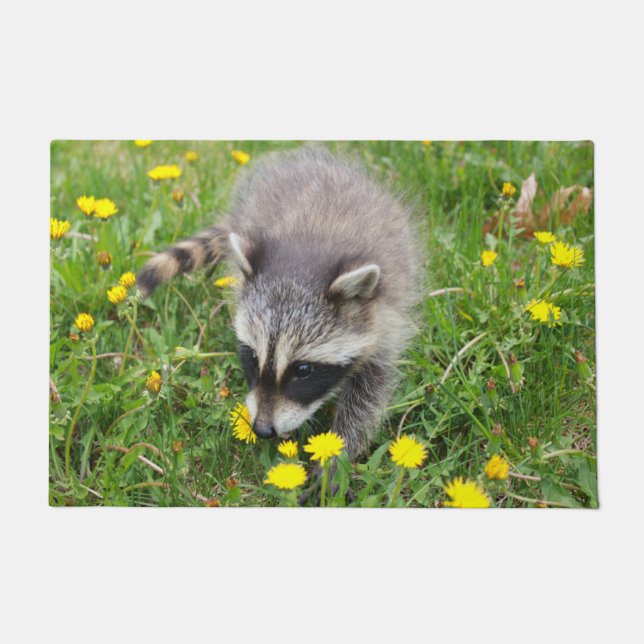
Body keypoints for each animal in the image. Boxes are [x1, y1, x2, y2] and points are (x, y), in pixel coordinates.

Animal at [137, 146, 421, 459]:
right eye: (252, 356)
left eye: (303, 370)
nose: (262, 429)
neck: (307, 250)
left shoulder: (386, 317)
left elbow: (370, 392)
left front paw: (338, 453)